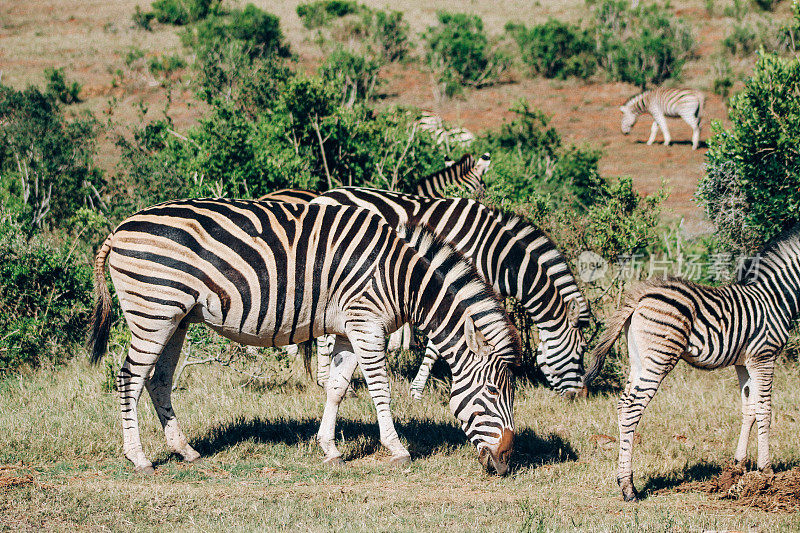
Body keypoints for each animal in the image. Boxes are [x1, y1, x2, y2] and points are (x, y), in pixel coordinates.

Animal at [90, 197, 520, 472]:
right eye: (494, 392)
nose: (506, 462)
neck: (400, 278)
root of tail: (120, 228)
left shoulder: (349, 329)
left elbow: (337, 387)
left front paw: (329, 449)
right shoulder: (368, 324)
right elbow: (380, 388)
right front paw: (397, 449)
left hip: (175, 317)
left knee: (158, 380)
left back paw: (185, 451)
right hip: (154, 310)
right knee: (129, 378)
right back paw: (139, 458)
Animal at [316, 185, 592, 396]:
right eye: (580, 351)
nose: (580, 397)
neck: (496, 256)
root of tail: (322, 196)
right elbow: (436, 346)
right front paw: (417, 390)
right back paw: (330, 380)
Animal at [580, 227, 800, 500]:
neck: (776, 296)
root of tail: (642, 295)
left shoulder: (743, 362)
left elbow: (748, 409)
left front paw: (738, 467)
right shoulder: (764, 356)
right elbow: (764, 410)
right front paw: (766, 471)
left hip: (639, 359)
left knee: (623, 405)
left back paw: (623, 479)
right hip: (660, 358)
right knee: (633, 408)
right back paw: (628, 488)